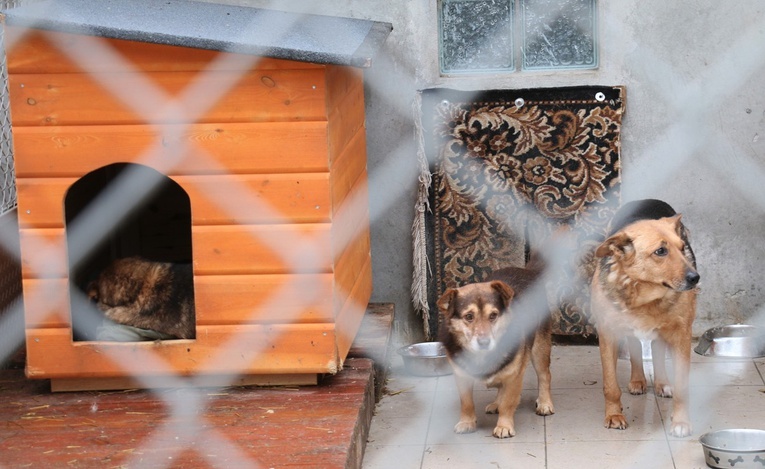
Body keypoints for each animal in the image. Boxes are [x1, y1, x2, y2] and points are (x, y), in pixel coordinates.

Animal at [436, 264, 556, 438]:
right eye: (469, 316)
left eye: (493, 315)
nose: (484, 342)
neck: (482, 356)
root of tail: (525, 269)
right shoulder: (461, 376)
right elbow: (466, 403)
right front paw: (467, 422)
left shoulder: (514, 375)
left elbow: (508, 403)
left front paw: (504, 426)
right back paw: (496, 404)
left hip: (539, 348)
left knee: (544, 375)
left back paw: (545, 403)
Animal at [592, 199, 700, 436]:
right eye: (660, 251)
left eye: (682, 248)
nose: (696, 277)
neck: (645, 296)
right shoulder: (608, 333)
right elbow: (610, 384)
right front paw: (614, 415)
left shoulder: (682, 334)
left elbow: (683, 387)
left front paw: (681, 422)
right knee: (635, 346)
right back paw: (638, 380)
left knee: (657, 351)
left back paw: (661, 383)